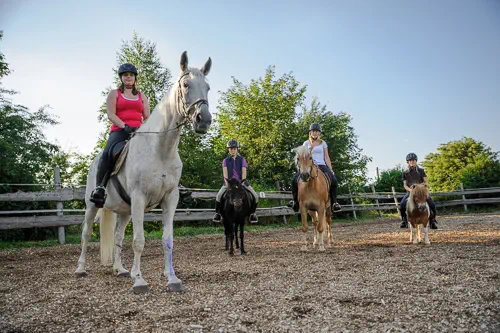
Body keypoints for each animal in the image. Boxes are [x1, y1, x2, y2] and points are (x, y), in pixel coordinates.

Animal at [75, 50, 212, 292]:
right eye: (186, 85)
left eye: (208, 87)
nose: (203, 120)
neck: (160, 150)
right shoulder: (139, 198)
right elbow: (139, 241)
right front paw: (139, 280)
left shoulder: (170, 199)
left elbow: (168, 240)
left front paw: (172, 278)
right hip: (92, 205)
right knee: (86, 233)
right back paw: (81, 269)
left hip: (124, 211)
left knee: (117, 236)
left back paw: (120, 269)